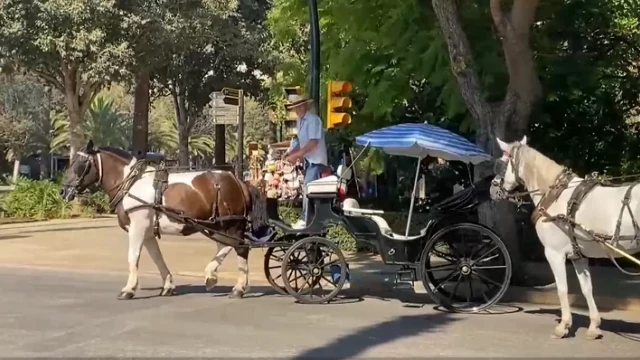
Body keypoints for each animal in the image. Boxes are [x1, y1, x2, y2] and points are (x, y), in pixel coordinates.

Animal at [58, 139, 268, 300]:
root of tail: (239, 181)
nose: (62, 191)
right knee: (226, 246)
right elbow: (157, 257)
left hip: (232, 224)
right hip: (218, 224)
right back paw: (215, 277)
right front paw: (167, 285)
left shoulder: (137, 228)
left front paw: (128, 289)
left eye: (80, 163)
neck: (131, 183)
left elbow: (133, 257)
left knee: (240, 247)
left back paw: (235, 286)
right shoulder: (148, 232)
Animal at [492, 136, 636, 338]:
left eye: (501, 163)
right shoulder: (579, 256)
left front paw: (564, 325)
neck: (555, 196)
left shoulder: (554, 253)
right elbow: (586, 288)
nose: (492, 187)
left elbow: (562, 288)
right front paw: (594, 326)